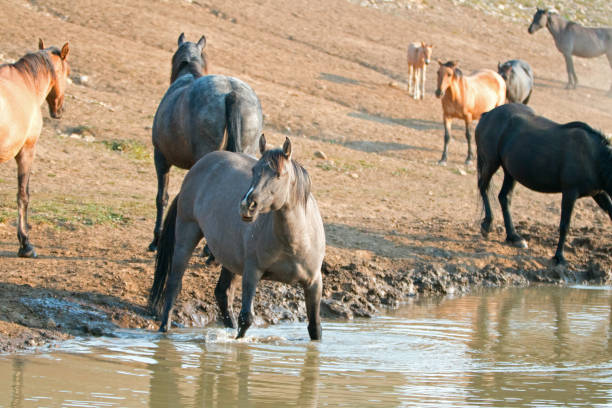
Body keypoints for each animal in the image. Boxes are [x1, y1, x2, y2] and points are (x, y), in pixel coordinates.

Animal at [0, 40, 70, 258]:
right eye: (68, 73)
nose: (60, 110)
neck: (26, 83)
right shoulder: (27, 151)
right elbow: (23, 195)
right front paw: (25, 244)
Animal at [478, 103, 612, 264]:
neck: (594, 157)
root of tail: (487, 114)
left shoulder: (599, 193)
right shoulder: (570, 193)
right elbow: (564, 225)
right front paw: (559, 257)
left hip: (510, 172)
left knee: (504, 197)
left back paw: (514, 237)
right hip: (491, 163)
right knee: (483, 187)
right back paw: (487, 224)